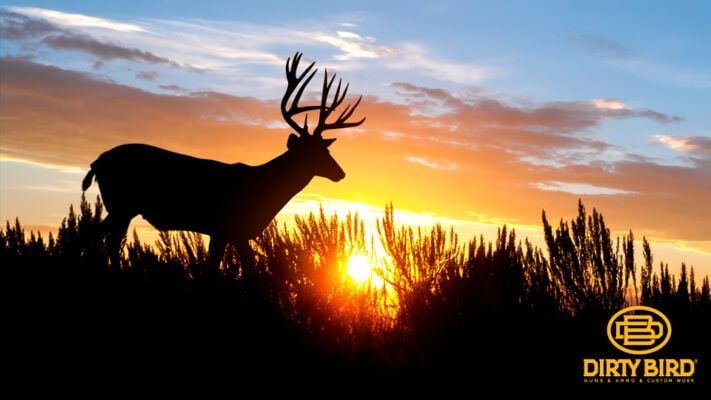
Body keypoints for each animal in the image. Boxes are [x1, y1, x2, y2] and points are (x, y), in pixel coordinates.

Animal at [81, 52, 365, 278]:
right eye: (311, 153)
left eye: (325, 149)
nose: (340, 173)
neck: (263, 189)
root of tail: (98, 161)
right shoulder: (226, 227)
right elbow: (223, 272)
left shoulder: (231, 233)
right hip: (121, 203)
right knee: (102, 237)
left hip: (120, 206)